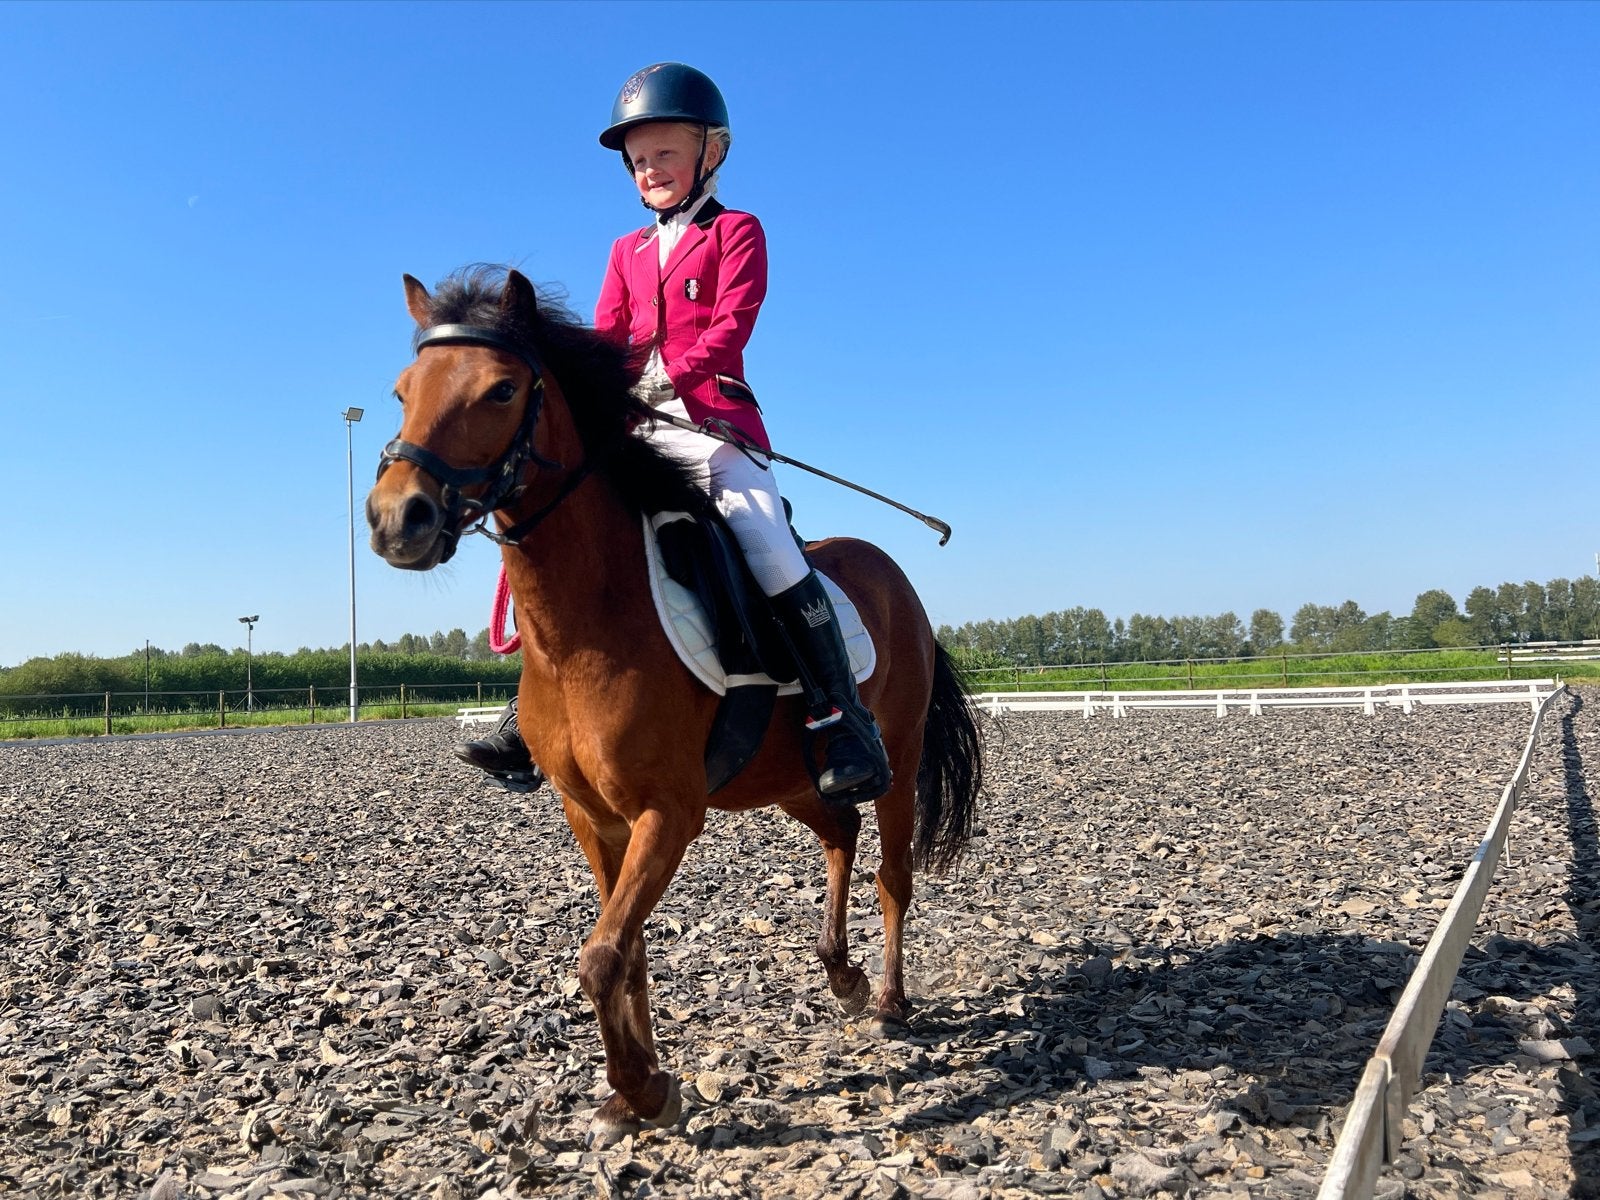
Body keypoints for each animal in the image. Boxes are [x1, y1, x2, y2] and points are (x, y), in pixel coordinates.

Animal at [366, 266, 983, 1147]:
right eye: (401, 391)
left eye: (501, 389)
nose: (397, 519)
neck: (584, 625)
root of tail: (890, 570)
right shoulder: (593, 816)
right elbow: (626, 950)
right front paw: (636, 1090)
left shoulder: (669, 811)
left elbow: (600, 955)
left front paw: (644, 1089)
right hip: (789, 778)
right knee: (840, 832)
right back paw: (843, 975)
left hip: (892, 757)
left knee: (891, 870)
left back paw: (891, 1000)